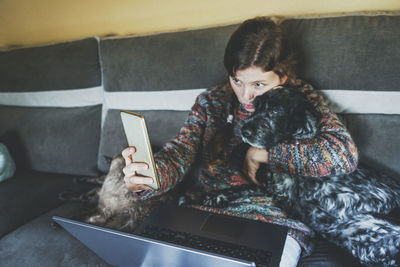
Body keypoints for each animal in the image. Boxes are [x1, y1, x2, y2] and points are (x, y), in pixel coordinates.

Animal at [195, 87, 400, 266]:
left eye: (276, 110)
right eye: (257, 107)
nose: (245, 130)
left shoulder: (369, 195)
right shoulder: (270, 188)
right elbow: (243, 188)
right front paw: (211, 196)